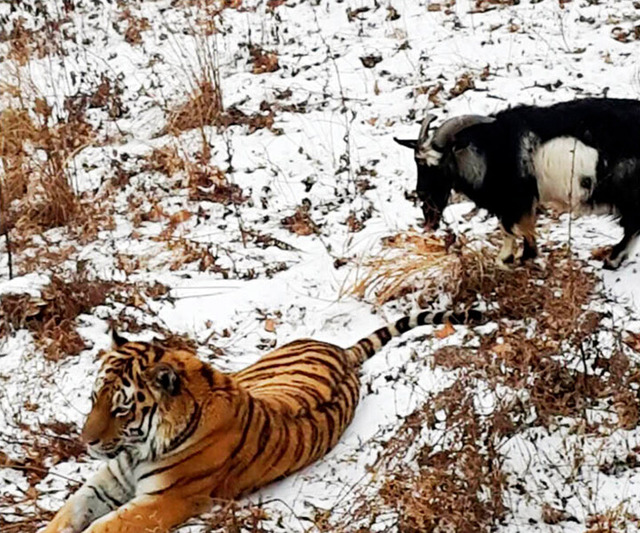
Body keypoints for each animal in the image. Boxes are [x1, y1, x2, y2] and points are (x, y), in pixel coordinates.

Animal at [42, 308, 482, 532]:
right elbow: (68, 512)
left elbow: (102, 528)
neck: (138, 448)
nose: (85, 442)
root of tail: (339, 351)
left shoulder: (164, 500)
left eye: (121, 408)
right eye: (93, 398)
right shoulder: (106, 481)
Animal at [396, 97, 640, 268]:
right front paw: (513, 256)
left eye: (440, 164)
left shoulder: (517, 199)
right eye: (418, 163)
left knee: (633, 225)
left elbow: (514, 227)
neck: (489, 150)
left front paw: (517, 257)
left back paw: (612, 260)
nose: (422, 195)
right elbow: (510, 229)